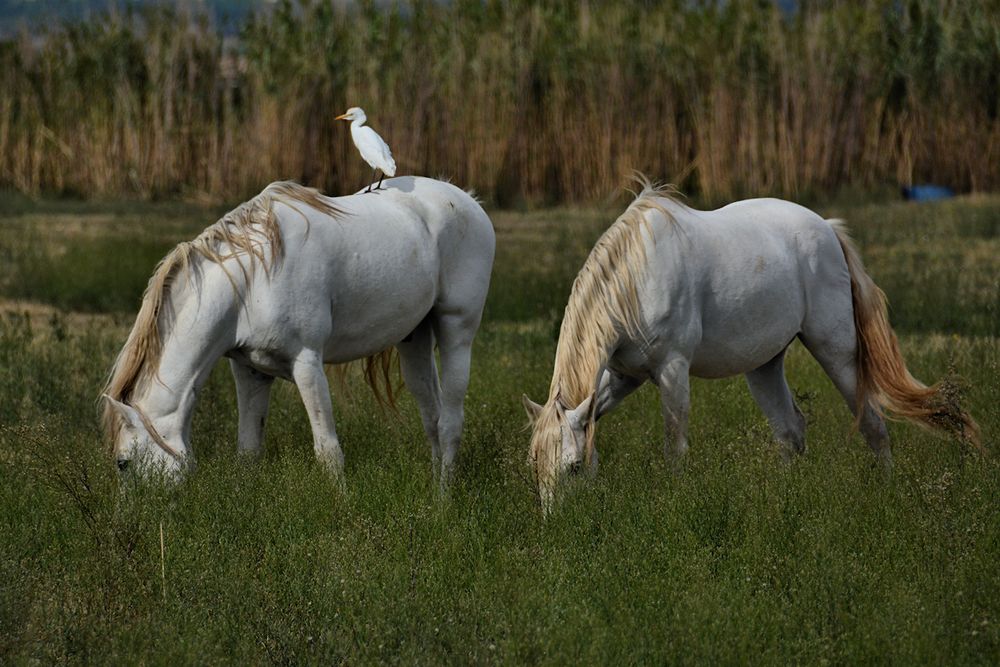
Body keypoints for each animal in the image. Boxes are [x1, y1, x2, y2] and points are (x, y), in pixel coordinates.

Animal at [104, 177, 496, 486]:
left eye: (123, 464)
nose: (127, 523)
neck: (251, 281)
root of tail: (469, 201)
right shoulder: (249, 371)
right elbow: (249, 450)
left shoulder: (307, 364)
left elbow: (328, 451)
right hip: (414, 339)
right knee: (433, 417)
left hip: (457, 329)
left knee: (450, 423)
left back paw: (444, 505)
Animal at [528, 180, 980, 508]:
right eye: (536, 465)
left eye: (572, 467)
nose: (559, 527)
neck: (635, 280)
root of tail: (828, 229)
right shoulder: (624, 376)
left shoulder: (672, 370)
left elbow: (675, 445)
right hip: (764, 366)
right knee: (791, 432)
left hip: (836, 350)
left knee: (871, 422)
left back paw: (887, 492)